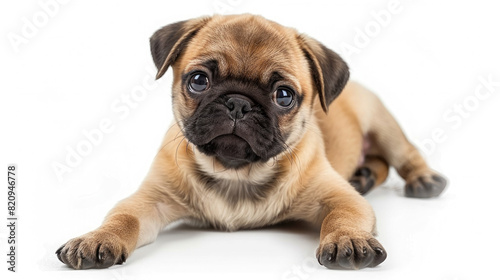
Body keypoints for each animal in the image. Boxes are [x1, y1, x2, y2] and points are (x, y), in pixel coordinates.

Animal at [56, 14, 448, 270]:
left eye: (284, 95)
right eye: (198, 80)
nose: (238, 103)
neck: (237, 175)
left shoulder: (338, 198)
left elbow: (344, 216)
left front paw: (348, 238)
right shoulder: (149, 200)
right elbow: (124, 218)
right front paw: (97, 237)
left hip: (383, 123)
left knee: (404, 155)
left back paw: (423, 180)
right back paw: (363, 175)